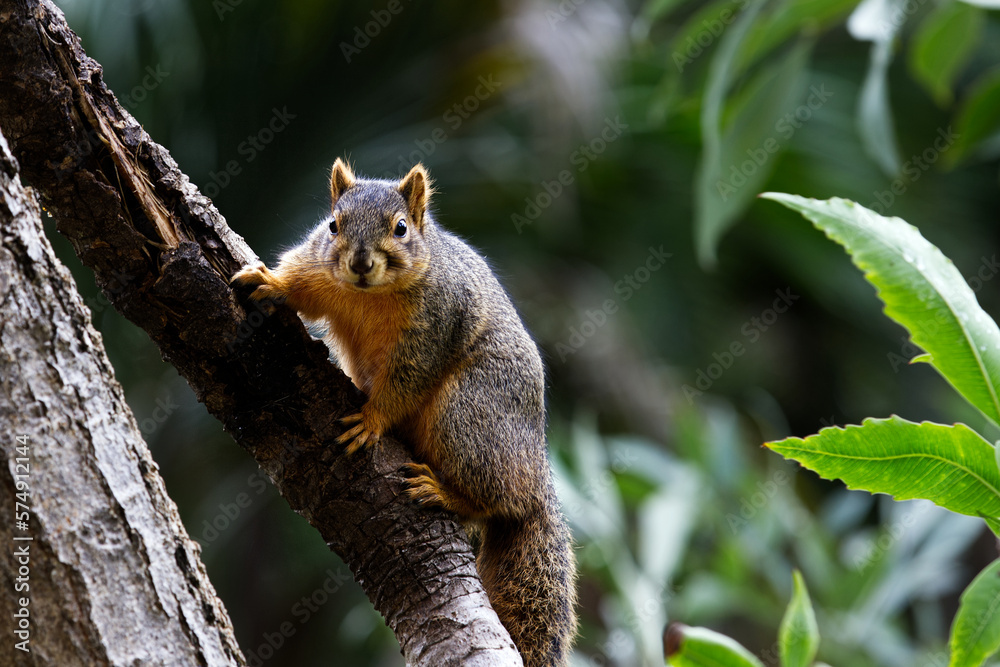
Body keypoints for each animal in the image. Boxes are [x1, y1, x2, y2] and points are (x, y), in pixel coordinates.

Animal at [231, 159, 577, 666]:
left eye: (400, 228)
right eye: (333, 225)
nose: (359, 263)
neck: (368, 294)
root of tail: (537, 472)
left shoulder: (435, 326)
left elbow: (407, 378)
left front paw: (371, 420)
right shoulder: (318, 270)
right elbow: (300, 284)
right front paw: (270, 281)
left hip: (471, 413)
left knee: (499, 499)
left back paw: (445, 492)